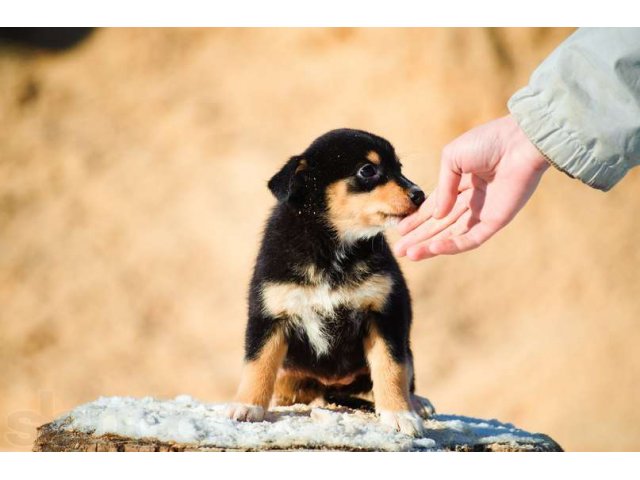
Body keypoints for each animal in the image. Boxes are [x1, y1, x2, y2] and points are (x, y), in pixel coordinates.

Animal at [226, 129, 436, 436]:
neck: (332, 247)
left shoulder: (385, 314)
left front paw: (400, 414)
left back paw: (417, 403)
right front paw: (247, 407)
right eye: (367, 170)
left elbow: (391, 368)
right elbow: (258, 363)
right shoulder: (269, 314)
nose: (419, 195)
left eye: (399, 168)